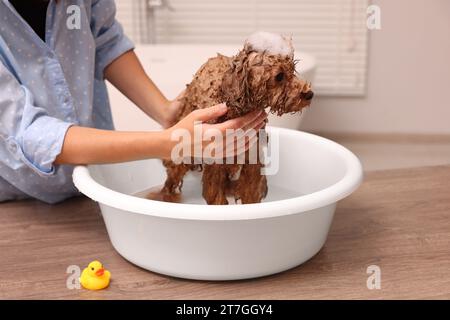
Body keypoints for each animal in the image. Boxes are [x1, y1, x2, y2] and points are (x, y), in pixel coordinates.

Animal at [156, 32, 312, 205]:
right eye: (279, 76)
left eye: (293, 70)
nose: (309, 94)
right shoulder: (216, 166)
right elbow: (215, 196)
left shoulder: (252, 162)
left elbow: (251, 193)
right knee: (172, 178)